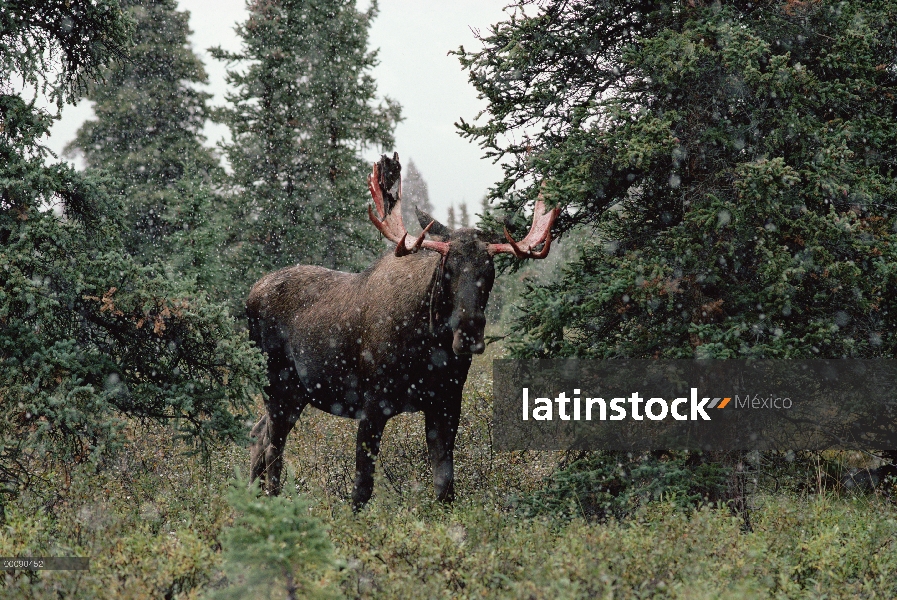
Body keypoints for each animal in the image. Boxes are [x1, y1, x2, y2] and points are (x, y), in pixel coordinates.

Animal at [248, 152, 556, 508]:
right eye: (447, 268)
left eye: (490, 271)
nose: (468, 332)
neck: (427, 347)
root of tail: (250, 294)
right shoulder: (371, 404)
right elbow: (362, 488)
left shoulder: (446, 402)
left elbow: (445, 485)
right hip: (276, 385)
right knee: (273, 447)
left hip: (296, 393)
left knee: (258, 435)